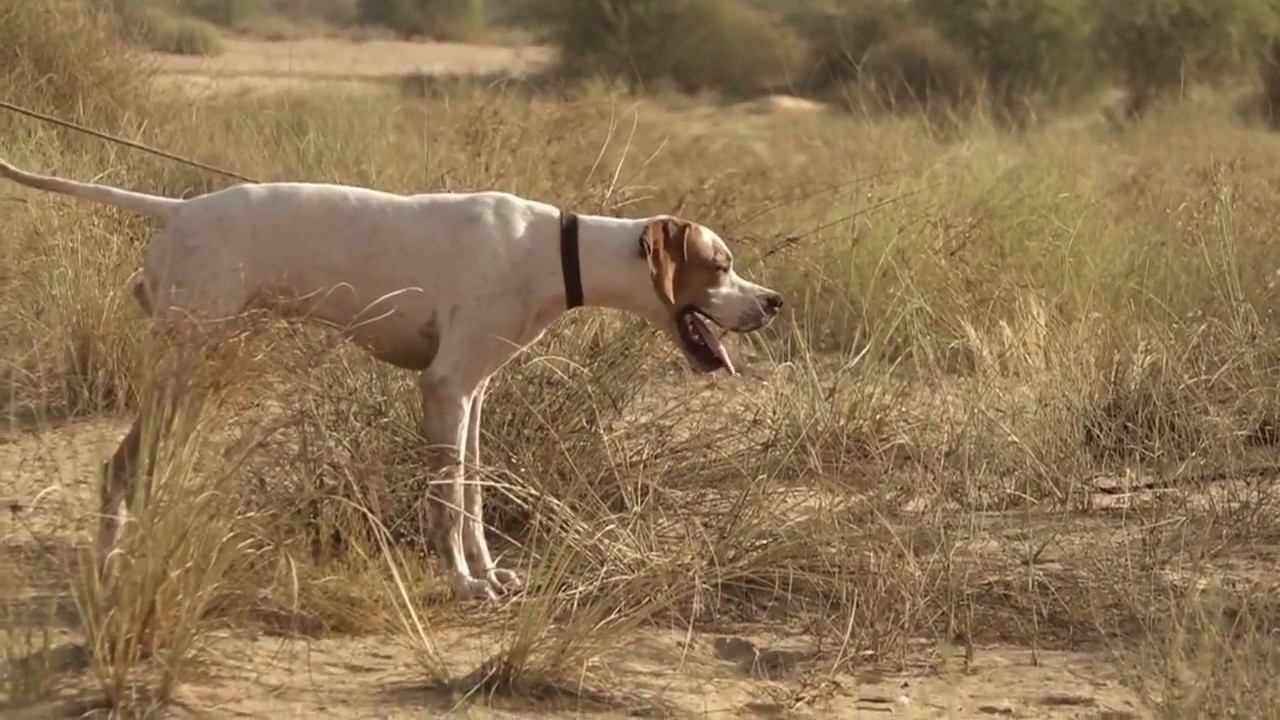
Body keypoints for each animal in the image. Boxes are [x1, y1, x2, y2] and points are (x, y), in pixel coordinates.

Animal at [0, 158, 783, 599]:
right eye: (720, 264)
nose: (775, 303)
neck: (558, 252)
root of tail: (181, 208)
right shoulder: (444, 389)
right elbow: (448, 506)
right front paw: (464, 582)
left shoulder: (471, 396)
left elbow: (471, 497)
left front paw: (489, 574)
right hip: (186, 363)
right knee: (118, 465)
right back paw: (111, 569)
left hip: (195, 370)